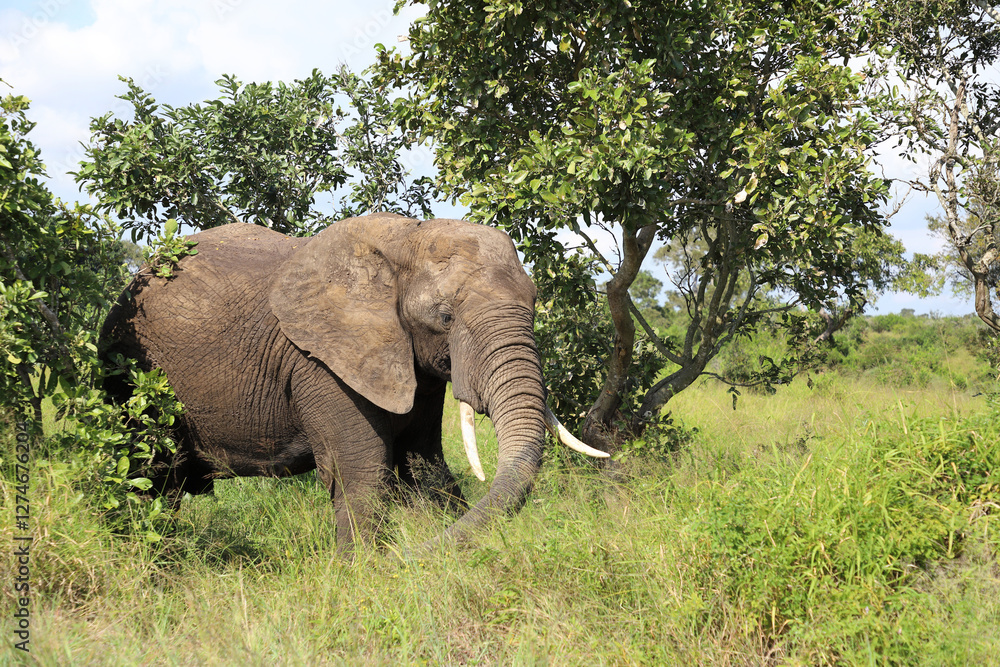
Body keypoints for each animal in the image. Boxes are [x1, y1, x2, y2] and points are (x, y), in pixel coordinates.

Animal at [99, 212, 605, 551]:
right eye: (444, 317)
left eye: (534, 303)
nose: (409, 555)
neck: (406, 239)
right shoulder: (321, 363)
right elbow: (362, 469)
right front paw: (365, 571)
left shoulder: (412, 363)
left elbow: (423, 464)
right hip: (129, 371)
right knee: (151, 478)